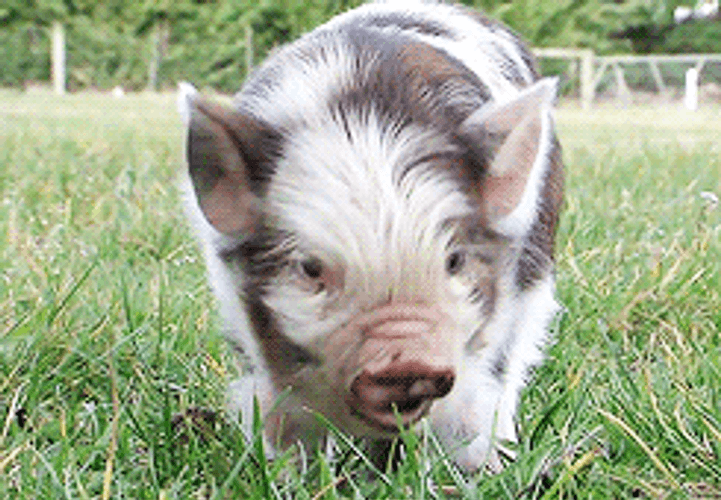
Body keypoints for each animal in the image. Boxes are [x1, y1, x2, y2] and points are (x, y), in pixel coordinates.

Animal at [177, 0, 563, 473]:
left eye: (454, 260)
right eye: (309, 268)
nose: (404, 360)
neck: (366, 126)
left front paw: (476, 470)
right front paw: (290, 474)